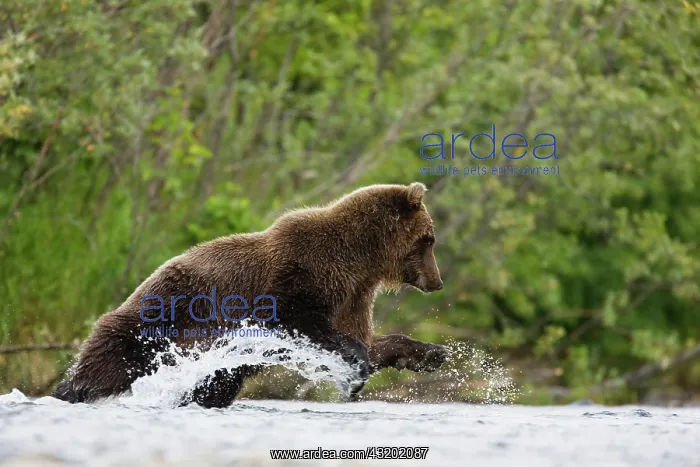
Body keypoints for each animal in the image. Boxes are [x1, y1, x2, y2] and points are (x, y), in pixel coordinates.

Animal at [51, 182, 449, 408]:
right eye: (429, 239)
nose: (438, 281)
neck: (359, 260)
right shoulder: (299, 275)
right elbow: (300, 321)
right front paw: (356, 366)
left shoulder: (353, 295)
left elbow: (369, 337)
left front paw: (431, 353)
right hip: (154, 323)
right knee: (104, 366)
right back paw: (68, 391)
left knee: (216, 385)